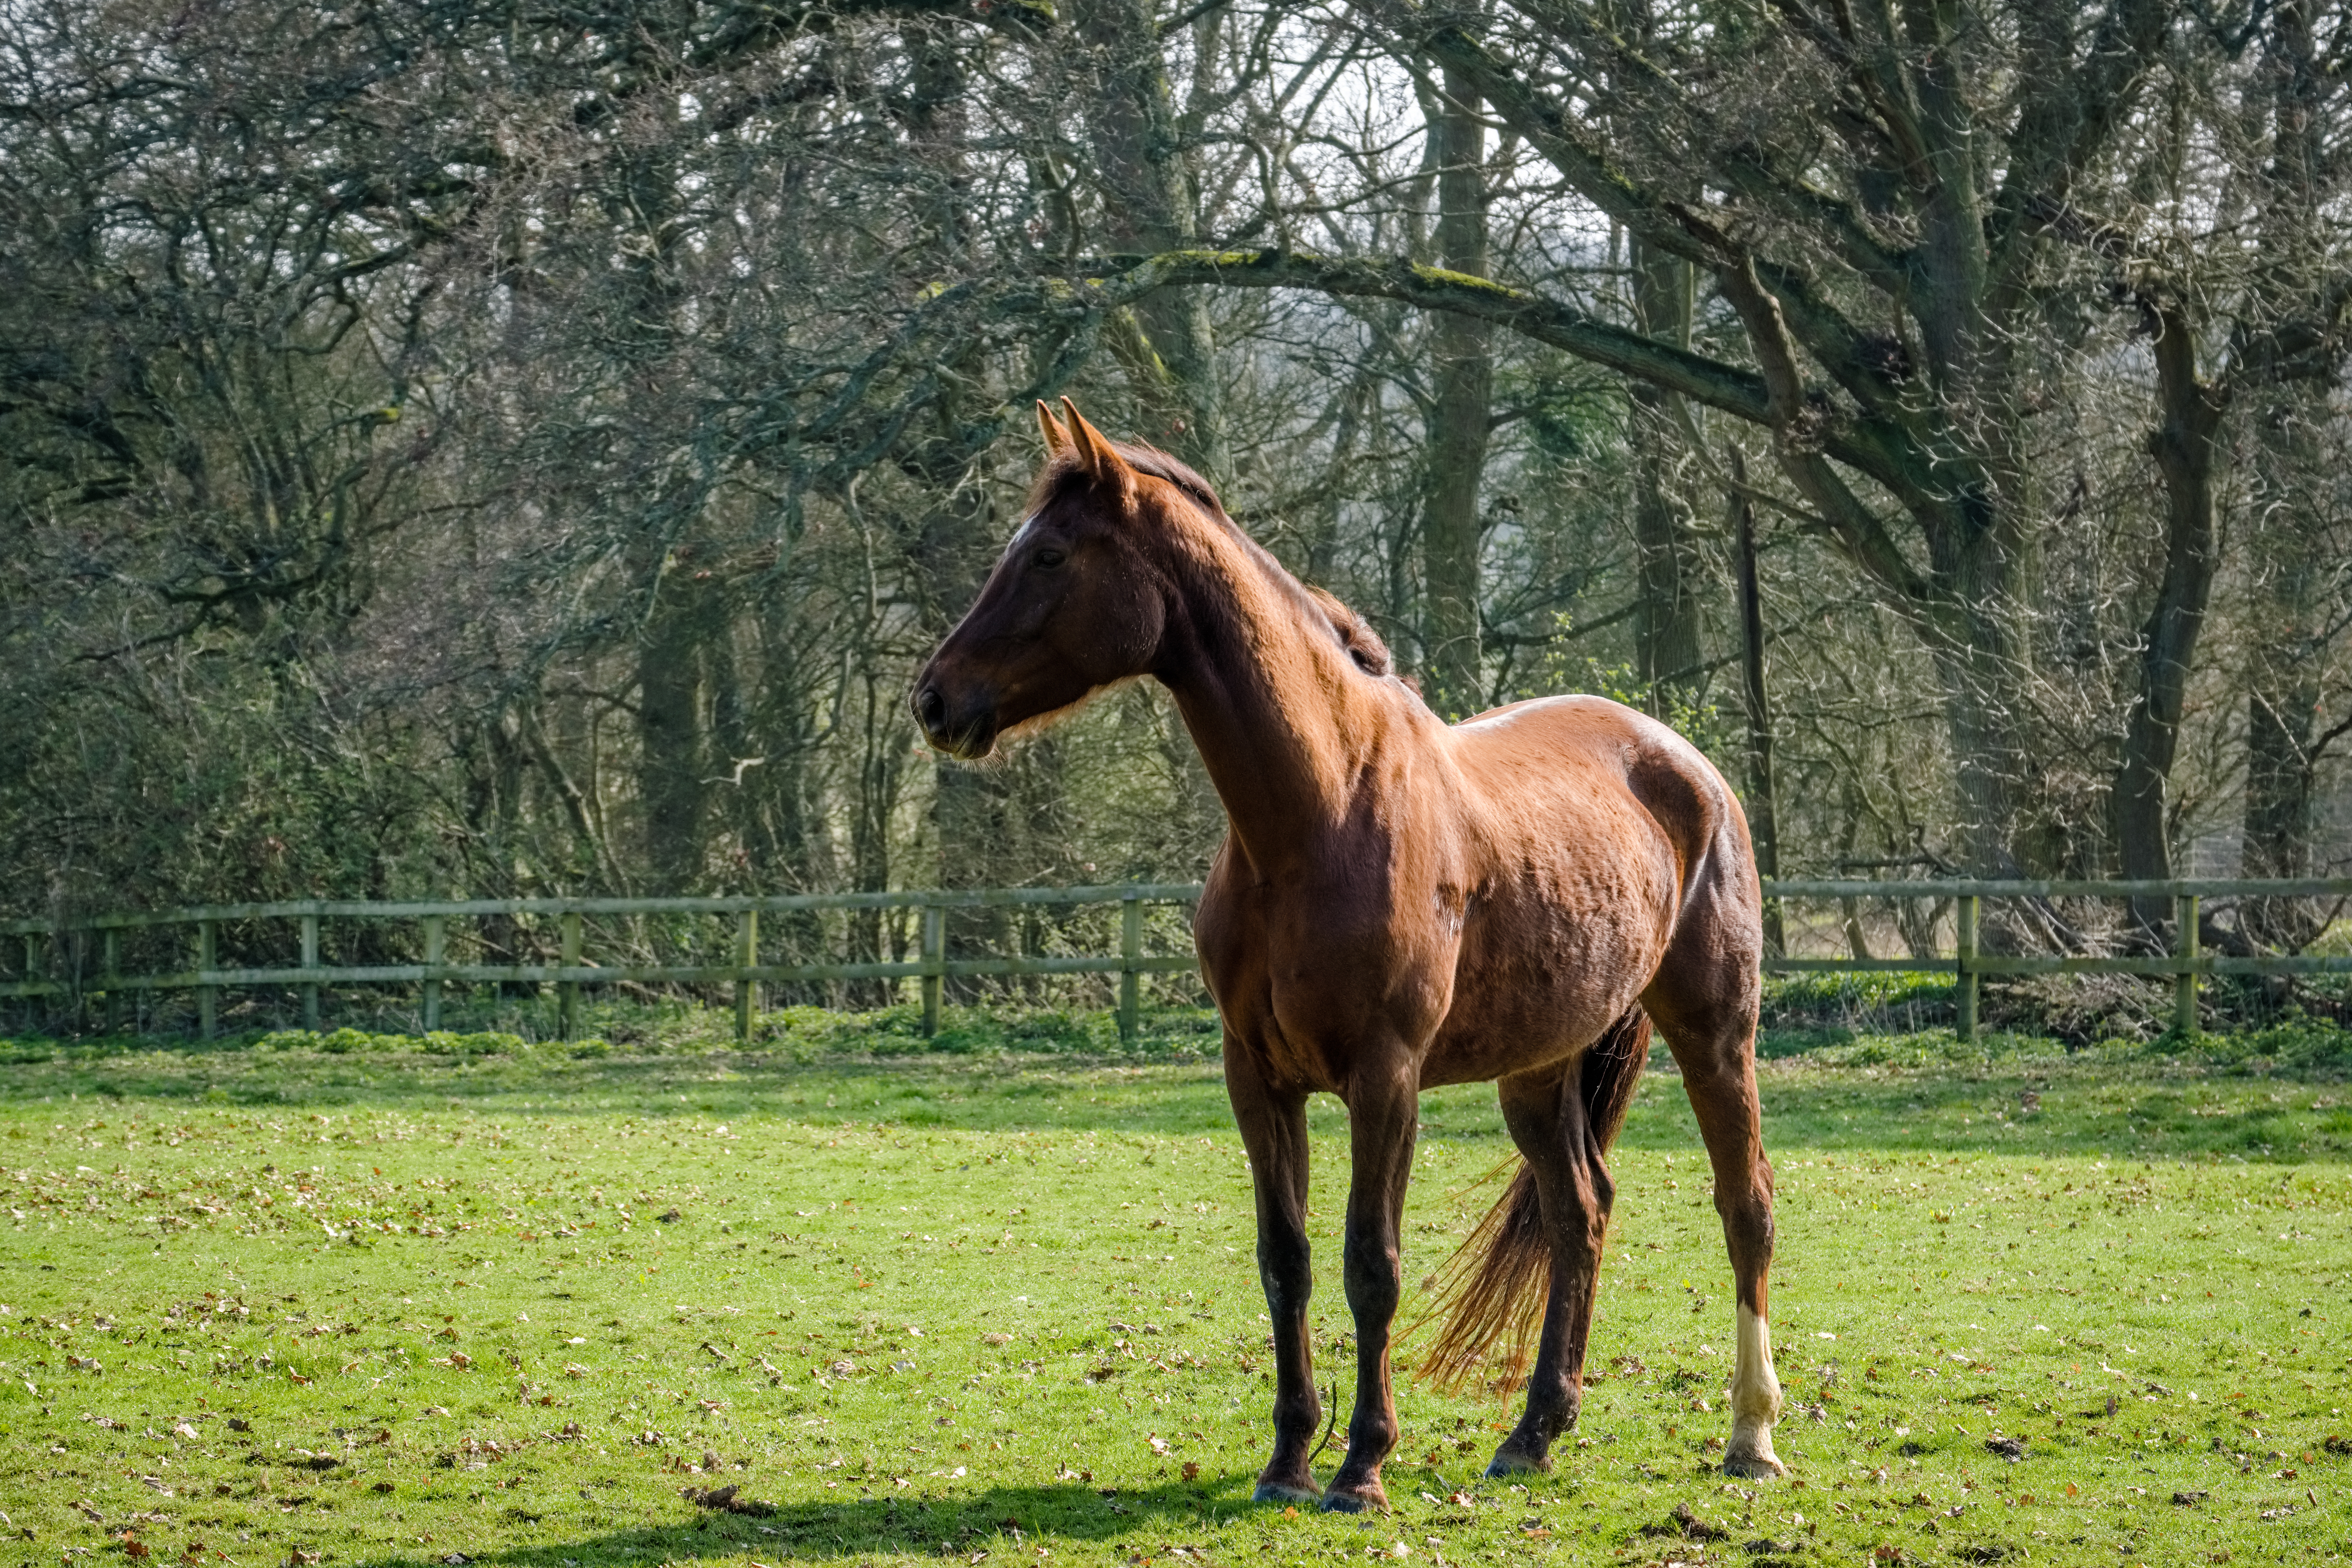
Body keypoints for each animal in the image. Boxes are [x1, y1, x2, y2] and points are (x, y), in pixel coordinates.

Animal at [917, 402, 1778, 1504]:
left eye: (1052, 555)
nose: (936, 700)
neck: (1316, 816)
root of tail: (1686, 764)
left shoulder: (1386, 1078)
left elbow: (1373, 1263)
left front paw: (1363, 1462)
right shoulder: (1256, 1078)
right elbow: (1284, 1258)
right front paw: (1289, 1456)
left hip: (1714, 1031)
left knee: (1744, 1204)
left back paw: (1751, 1434)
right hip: (1539, 1071)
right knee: (1579, 1212)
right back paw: (1534, 1431)